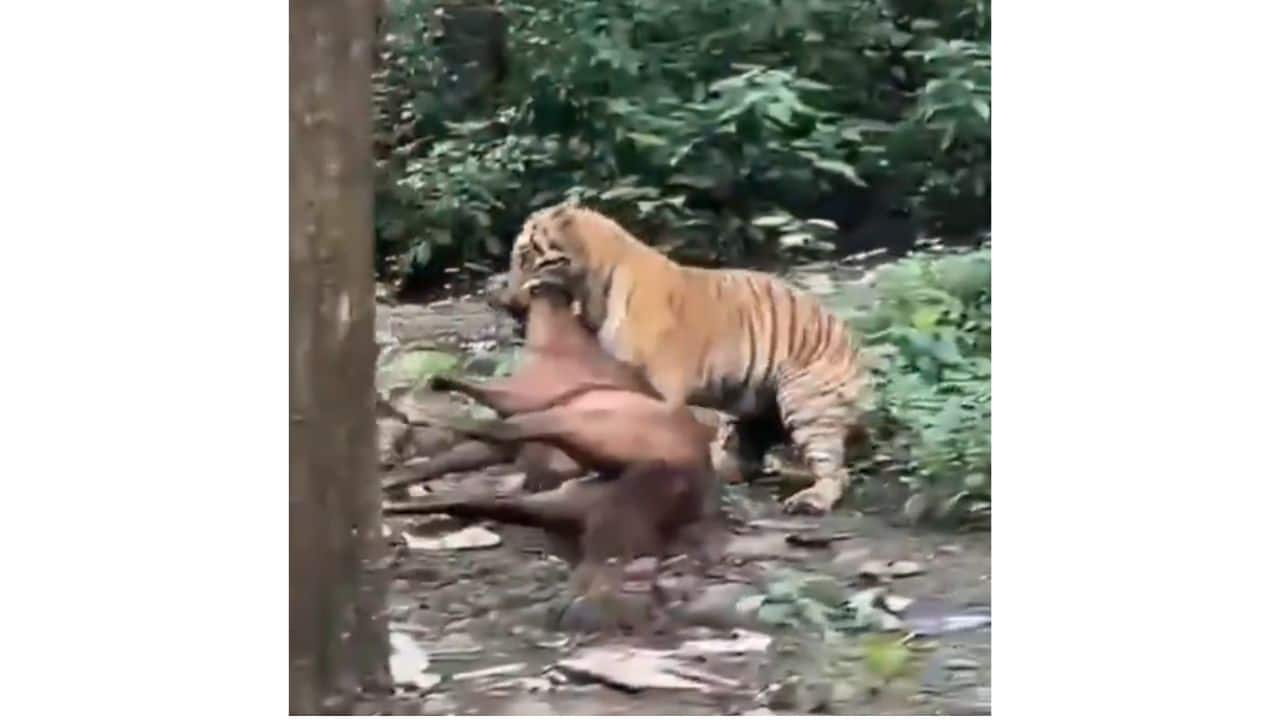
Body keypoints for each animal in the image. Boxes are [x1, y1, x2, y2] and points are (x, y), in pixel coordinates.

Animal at [488, 201, 870, 515]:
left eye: (524, 256)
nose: (507, 302)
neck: (590, 289)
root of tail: (852, 342)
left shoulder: (657, 389)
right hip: (747, 407)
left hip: (806, 404)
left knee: (836, 470)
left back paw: (811, 500)